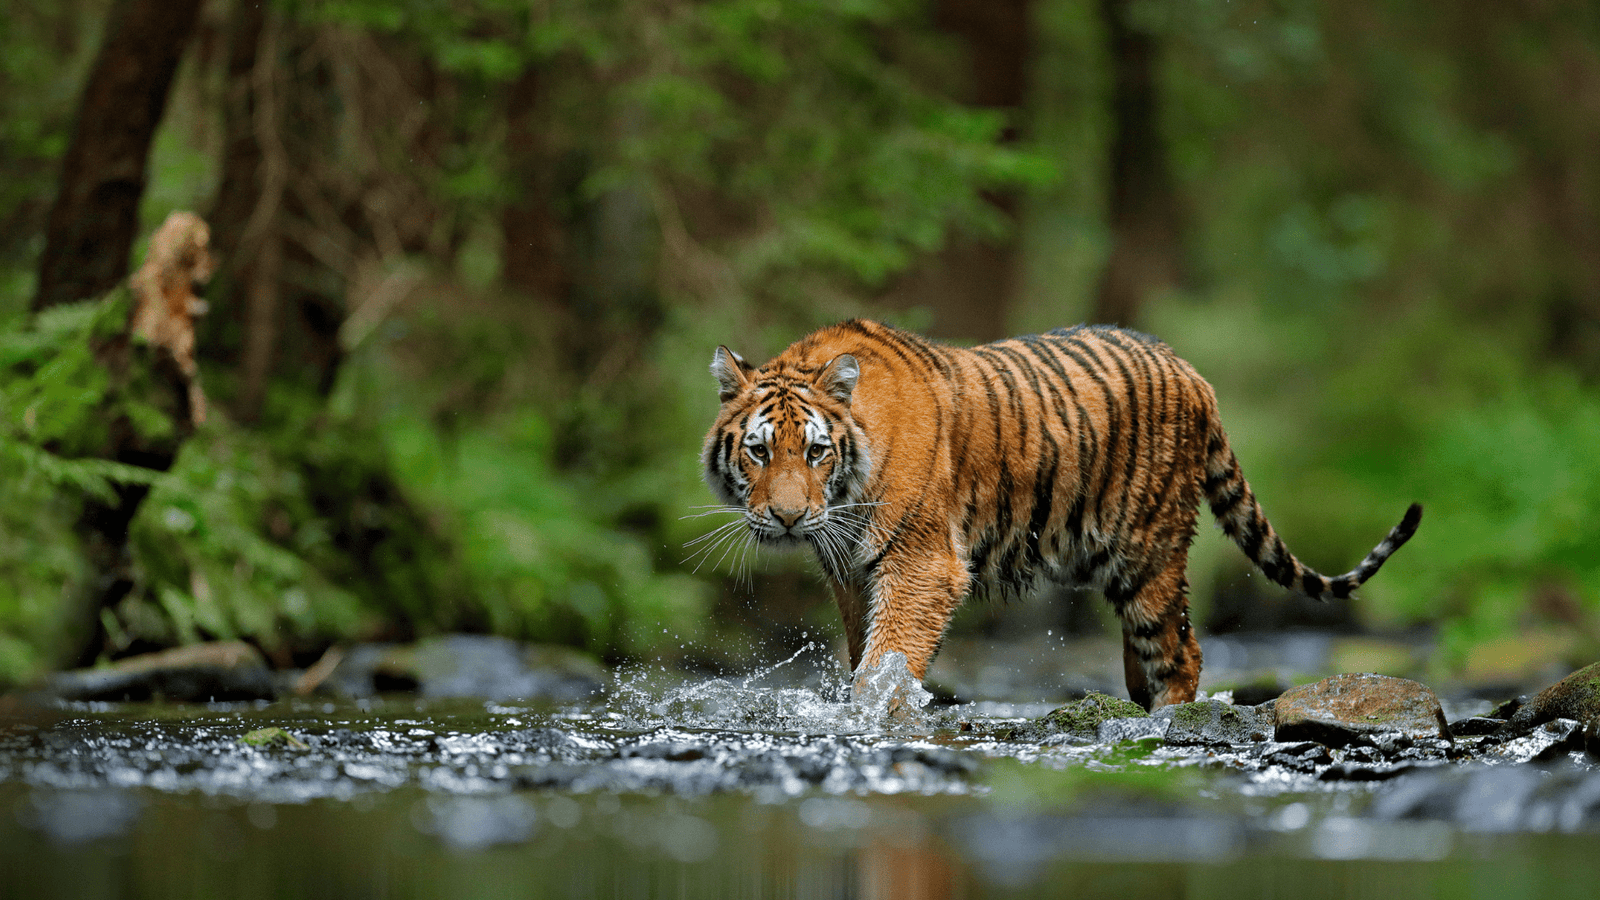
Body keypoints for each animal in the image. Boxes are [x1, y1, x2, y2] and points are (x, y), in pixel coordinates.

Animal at [701, 319, 1422, 710]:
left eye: (816, 451)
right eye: (760, 451)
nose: (788, 518)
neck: (845, 496)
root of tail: (1193, 372)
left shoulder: (921, 564)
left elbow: (888, 661)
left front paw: (876, 715)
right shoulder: (851, 573)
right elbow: (864, 655)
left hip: (1149, 552)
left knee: (1181, 651)